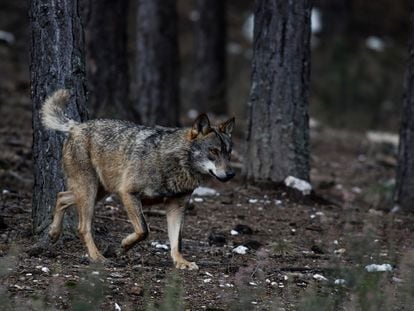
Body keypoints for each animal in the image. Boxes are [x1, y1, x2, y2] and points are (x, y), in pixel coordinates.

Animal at [42, 89, 236, 270]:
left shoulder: (177, 205)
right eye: (214, 151)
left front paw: (181, 262)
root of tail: (77, 126)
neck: (175, 162)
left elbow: (176, 241)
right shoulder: (128, 193)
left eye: (228, 152)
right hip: (90, 191)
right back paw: (97, 257)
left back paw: (53, 233)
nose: (231, 174)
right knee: (82, 227)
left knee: (61, 197)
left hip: (99, 192)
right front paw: (123, 246)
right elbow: (144, 230)